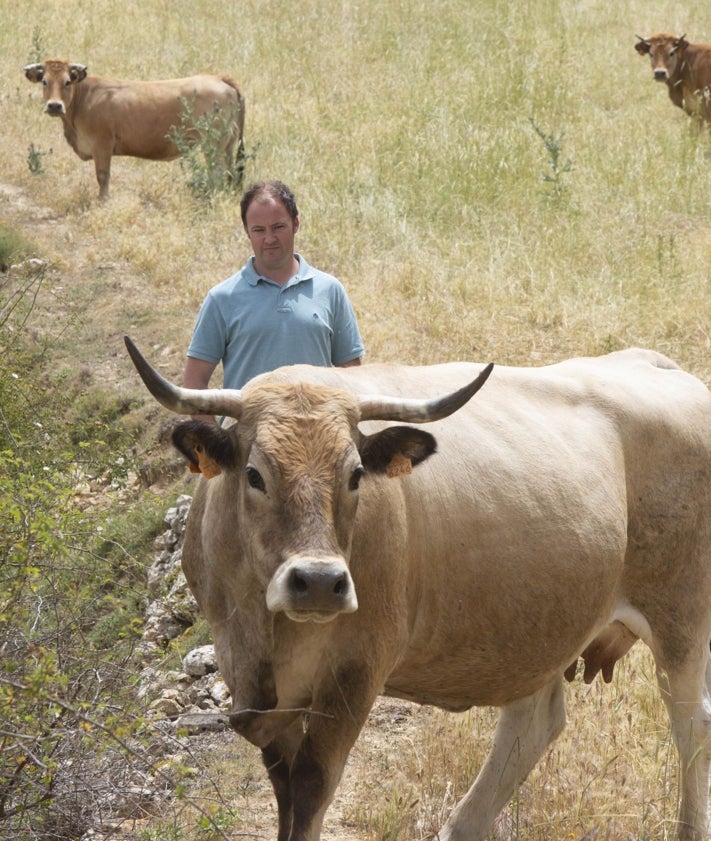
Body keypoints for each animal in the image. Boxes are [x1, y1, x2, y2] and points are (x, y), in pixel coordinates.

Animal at [23, 59, 245, 200]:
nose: (54, 106)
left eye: (67, 81)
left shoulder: (102, 144)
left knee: (217, 173)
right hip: (227, 145)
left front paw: (103, 200)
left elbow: (102, 175)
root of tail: (218, 78)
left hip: (214, 146)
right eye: (44, 81)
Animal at [124, 336, 711, 840]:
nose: (319, 583)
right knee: (531, 726)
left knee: (691, 724)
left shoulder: (357, 669)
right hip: (540, 625)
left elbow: (311, 789)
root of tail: (662, 367)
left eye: (355, 474)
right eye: (254, 474)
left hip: (681, 620)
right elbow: (285, 791)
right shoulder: (247, 673)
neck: (269, 629)